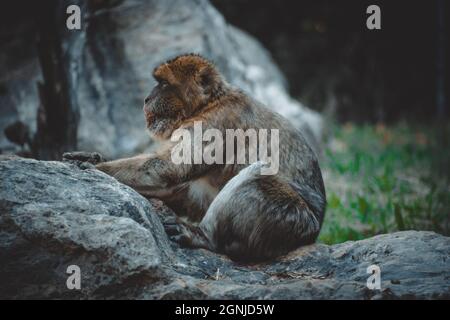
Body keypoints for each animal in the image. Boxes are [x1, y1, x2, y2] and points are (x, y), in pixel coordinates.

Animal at [63, 53, 326, 262]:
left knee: (256, 176)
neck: (209, 103)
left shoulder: (214, 123)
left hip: (289, 220)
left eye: (164, 84)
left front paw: (95, 168)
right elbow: (186, 192)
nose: (147, 99)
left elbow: (168, 169)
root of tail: (314, 232)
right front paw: (93, 158)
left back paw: (205, 238)